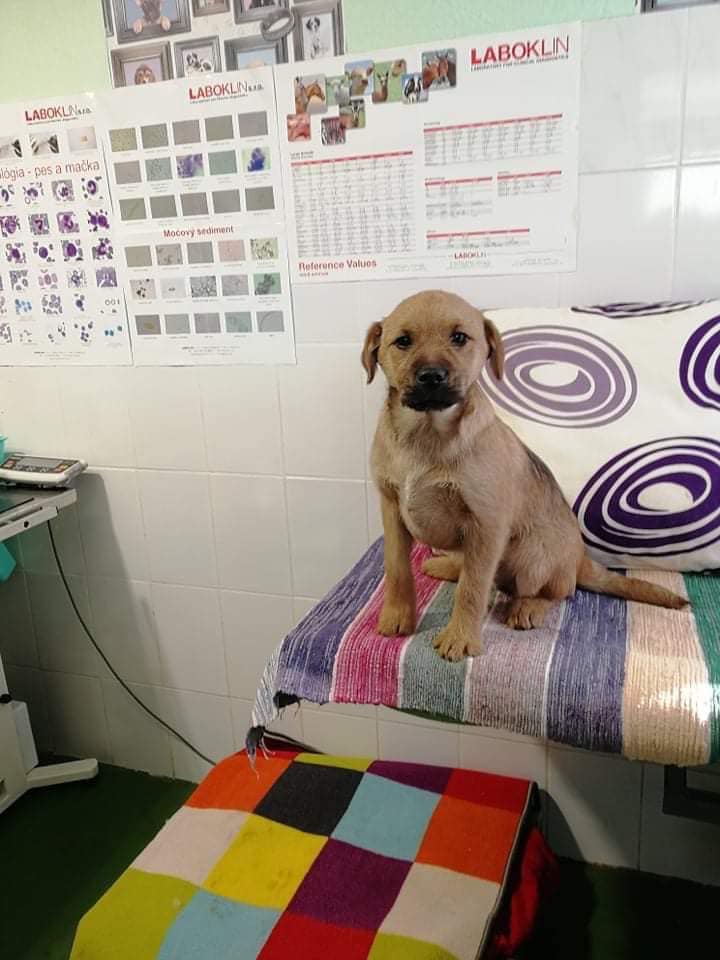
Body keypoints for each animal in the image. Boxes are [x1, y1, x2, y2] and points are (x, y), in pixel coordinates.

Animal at [362, 290, 687, 662]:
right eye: (403, 341)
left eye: (459, 338)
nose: (432, 376)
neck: (426, 433)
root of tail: (580, 560)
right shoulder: (392, 509)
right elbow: (397, 570)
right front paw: (396, 617)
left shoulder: (486, 525)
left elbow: (472, 590)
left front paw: (460, 637)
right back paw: (447, 567)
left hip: (534, 556)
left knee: (557, 591)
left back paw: (528, 607)